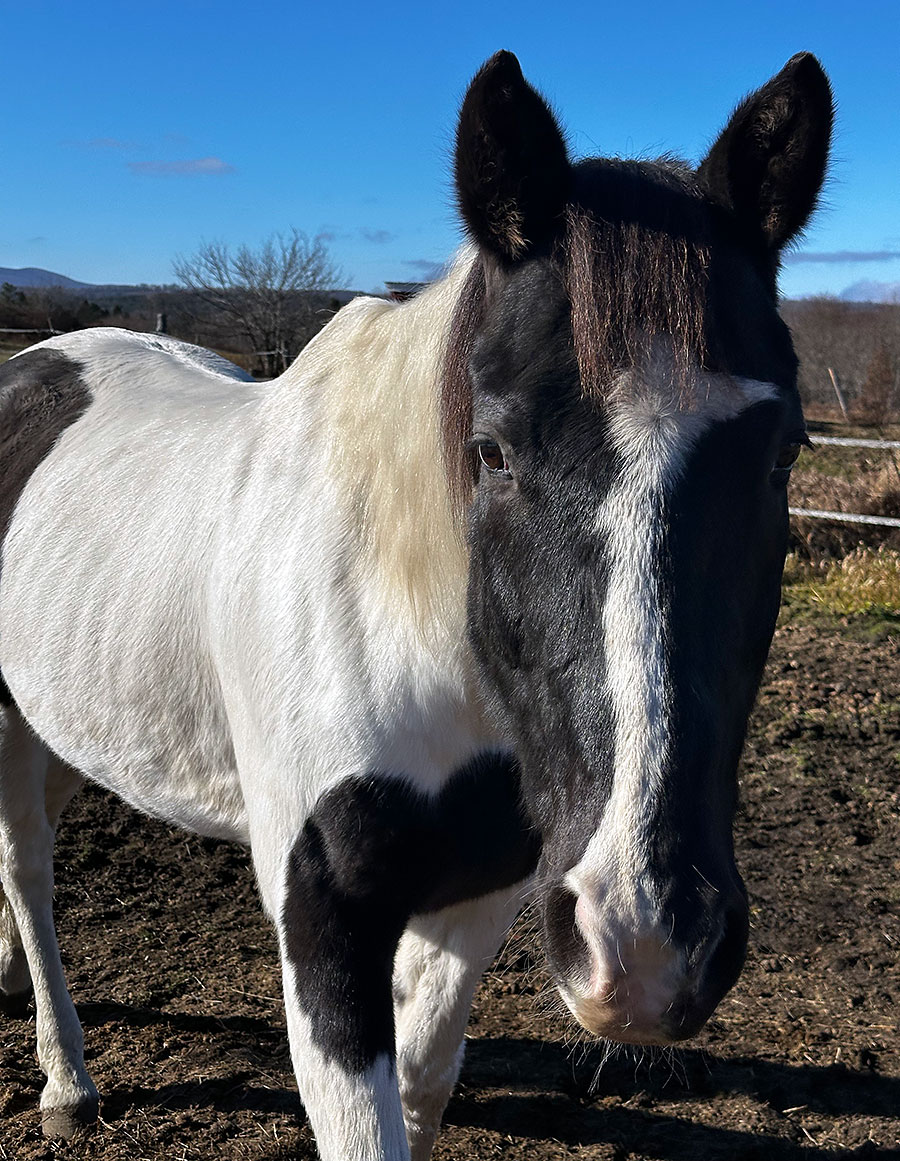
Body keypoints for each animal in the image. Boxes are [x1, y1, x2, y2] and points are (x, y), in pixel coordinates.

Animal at [0, 49, 831, 1160]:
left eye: (783, 454)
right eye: (493, 451)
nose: (649, 939)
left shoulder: (487, 889)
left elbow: (428, 1078)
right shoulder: (324, 925)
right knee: (30, 873)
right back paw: (65, 1077)